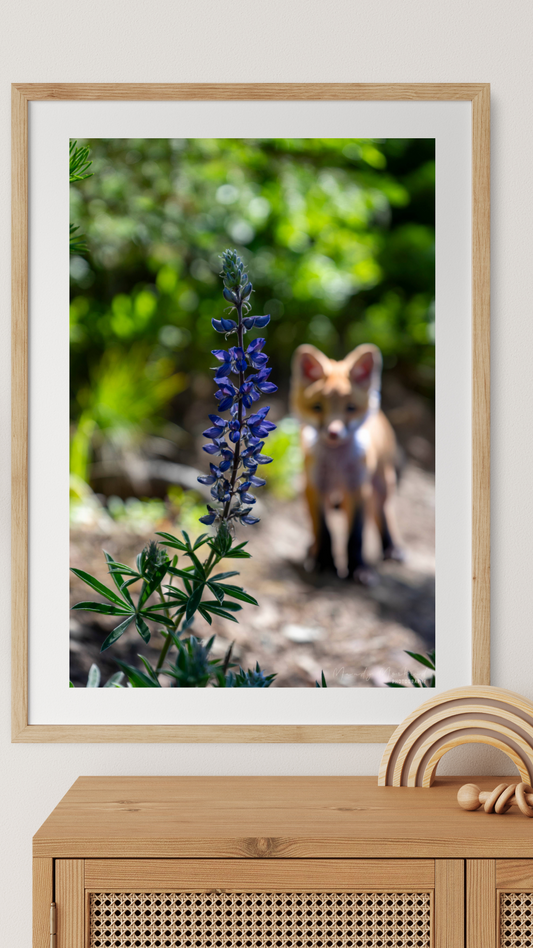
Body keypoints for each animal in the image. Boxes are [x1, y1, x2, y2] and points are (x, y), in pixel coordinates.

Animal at [290, 342, 403, 584]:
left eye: (350, 408)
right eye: (317, 407)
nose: (334, 432)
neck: (336, 465)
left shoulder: (358, 488)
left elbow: (355, 537)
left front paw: (358, 568)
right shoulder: (315, 487)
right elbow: (324, 531)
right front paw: (324, 562)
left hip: (382, 485)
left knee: (383, 515)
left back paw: (391, 548)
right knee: (316, 529)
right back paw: (311, 550)